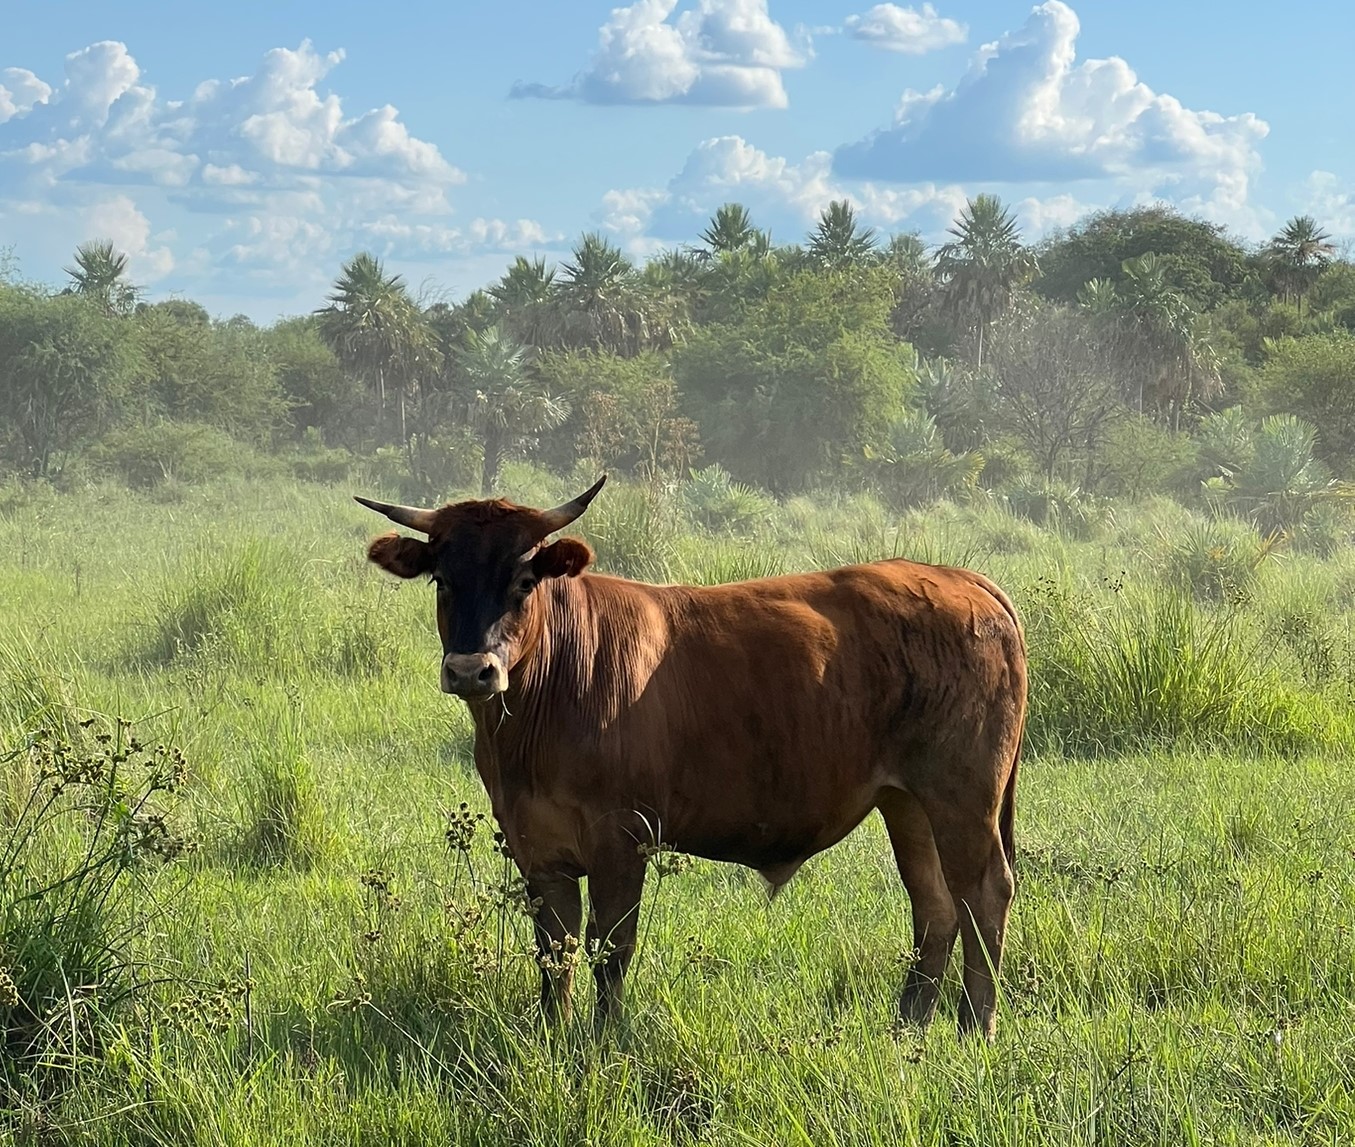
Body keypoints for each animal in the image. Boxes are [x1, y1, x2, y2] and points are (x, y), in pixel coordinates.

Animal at [355, 476, 1027, 1041]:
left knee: (982, 893)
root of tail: (961, 579)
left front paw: (603, 1040)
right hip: (907, 802)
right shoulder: (535, 847)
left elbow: (610, 948)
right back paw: (907, 1027)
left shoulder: (620, 839)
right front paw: (551, 1035)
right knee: (935, 904)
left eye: (523, 581)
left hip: (963, 795)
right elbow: (555, 953)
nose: (473, 670)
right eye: (443, 579)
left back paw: (975, 1029)